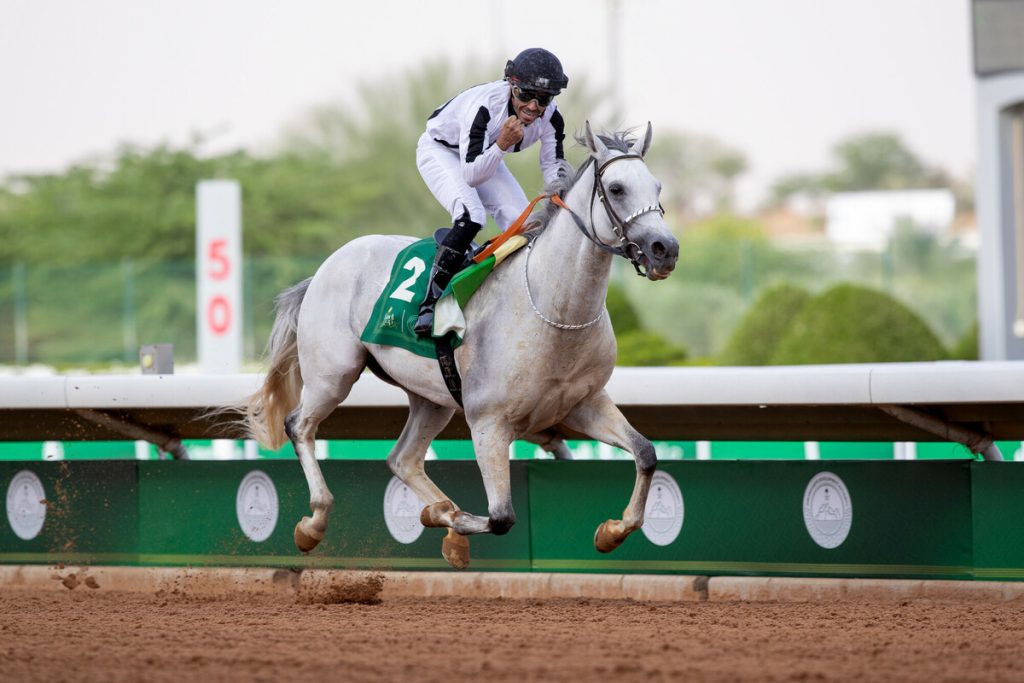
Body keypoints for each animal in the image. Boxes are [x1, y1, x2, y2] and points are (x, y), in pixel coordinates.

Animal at [234, 124, 675, 573]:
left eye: (657, 186)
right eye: (617, 189)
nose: (665, 249)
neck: (554, 309)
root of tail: (324, 267)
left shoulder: (582, 404)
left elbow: (645, 453)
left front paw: (612, 532)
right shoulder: (488, 421)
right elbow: (501, 517)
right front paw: (446, 521)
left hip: (432, 398)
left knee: (402, 458)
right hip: (332, 375)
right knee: (299, 426)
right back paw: (315, 523)